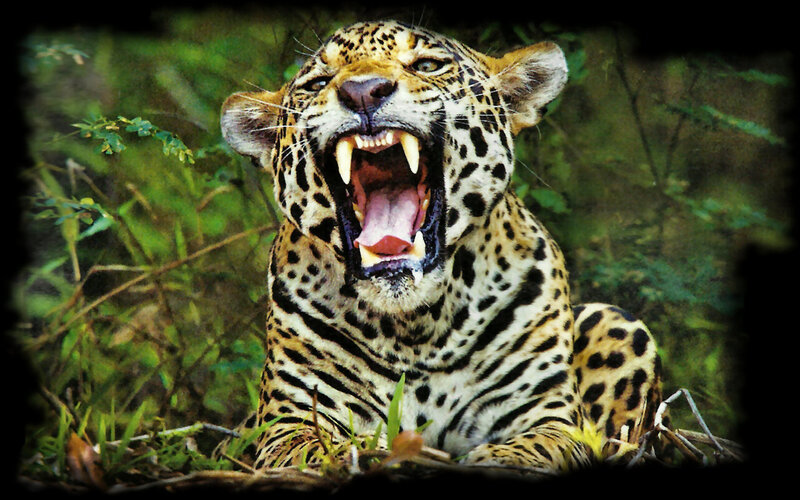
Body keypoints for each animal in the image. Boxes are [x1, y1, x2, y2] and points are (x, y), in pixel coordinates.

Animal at [220, 20, 663, 471]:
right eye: (319, 83)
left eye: (428, 65)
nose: (363, 92)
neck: (415, 327)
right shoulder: (287, 424)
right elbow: (316, 451)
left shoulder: (551, 418)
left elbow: (534, 448)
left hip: (616, 322)